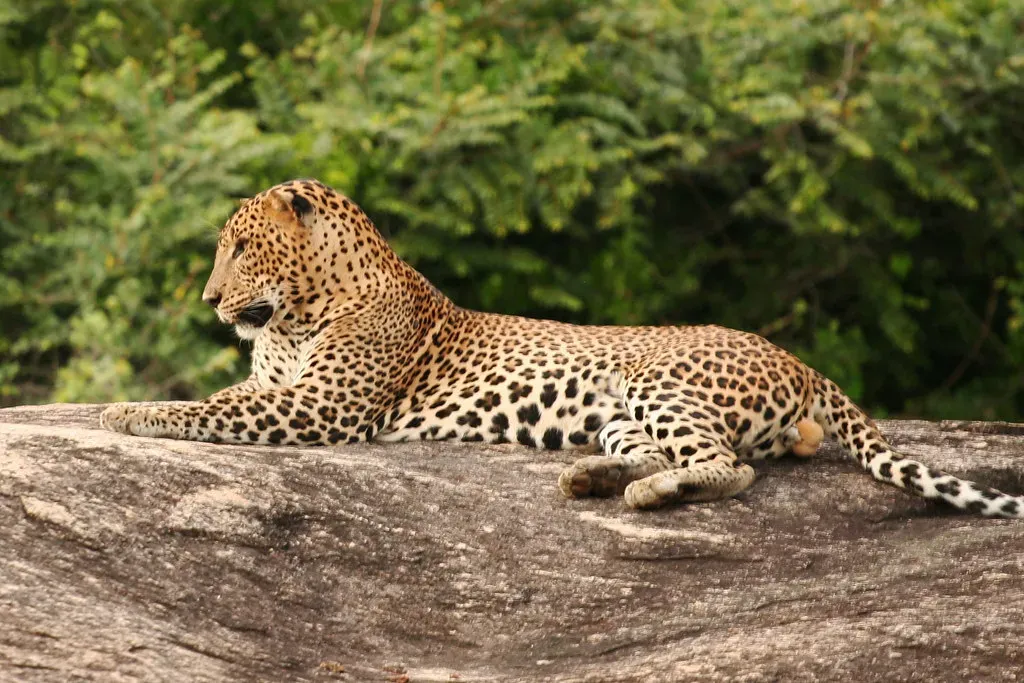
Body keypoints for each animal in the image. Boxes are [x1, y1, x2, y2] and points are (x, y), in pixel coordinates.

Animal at [100, 178, 1024, 518]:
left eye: (240, 247)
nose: (211, 300)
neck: (296, 312)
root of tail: (797, 357)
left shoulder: (320, 406)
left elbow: (198, 408)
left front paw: (122, 410)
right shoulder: (280, 390)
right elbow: (218, 398)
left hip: (660, 381)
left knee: (730, 465)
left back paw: (646, 494)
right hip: (615, 408)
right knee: (667, 451)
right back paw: (594, 477)